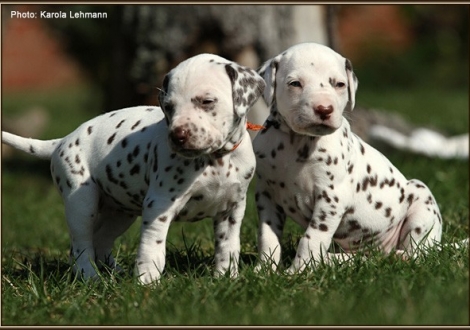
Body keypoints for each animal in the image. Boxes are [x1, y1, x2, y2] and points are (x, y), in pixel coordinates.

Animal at [0, 53, 264, 284]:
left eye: (206, 101)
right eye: (169, 107)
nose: (177, 136)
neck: (216, 159)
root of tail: (61, 142)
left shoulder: (232, 210)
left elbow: (228, 248)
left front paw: (226, 279)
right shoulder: (158, 206)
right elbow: (152, 249)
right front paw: (147, 284)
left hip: (120, 213)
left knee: (101, 240)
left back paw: (114, 273)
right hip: (81, 205)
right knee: (81, 246)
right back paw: (91, 278)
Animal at [252, 42, 442, 272]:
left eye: (340, 84)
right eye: (295, 83)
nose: (324, 109)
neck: (296, 142)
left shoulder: (331, 198)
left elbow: (311, 238)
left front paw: (298, 271)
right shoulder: (267, 195)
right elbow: (267, 236)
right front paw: (263, 270)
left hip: (421, 199)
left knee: (417, 254)